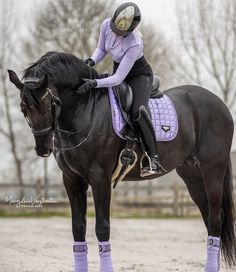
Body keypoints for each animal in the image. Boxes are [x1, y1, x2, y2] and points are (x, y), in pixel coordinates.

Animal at [8, 51, 235, 270]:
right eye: (23, 108)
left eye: (49, 104)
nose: (43, 148)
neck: (85, 110)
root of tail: (221, 105)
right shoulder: (72, 179)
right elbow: (78, 228)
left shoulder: (100, 179)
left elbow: (102, 228)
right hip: (192, 175)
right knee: (209, 219)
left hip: (212, 172)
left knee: (216, 219)